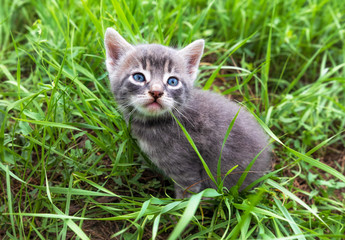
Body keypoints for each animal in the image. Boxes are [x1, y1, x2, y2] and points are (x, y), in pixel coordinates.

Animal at [103, 27, 270, 199]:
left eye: (172, 81)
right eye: (138, 77)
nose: (156, 92)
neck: (154, 123)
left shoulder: (187, 171)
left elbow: (186, 198)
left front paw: (177, 207)